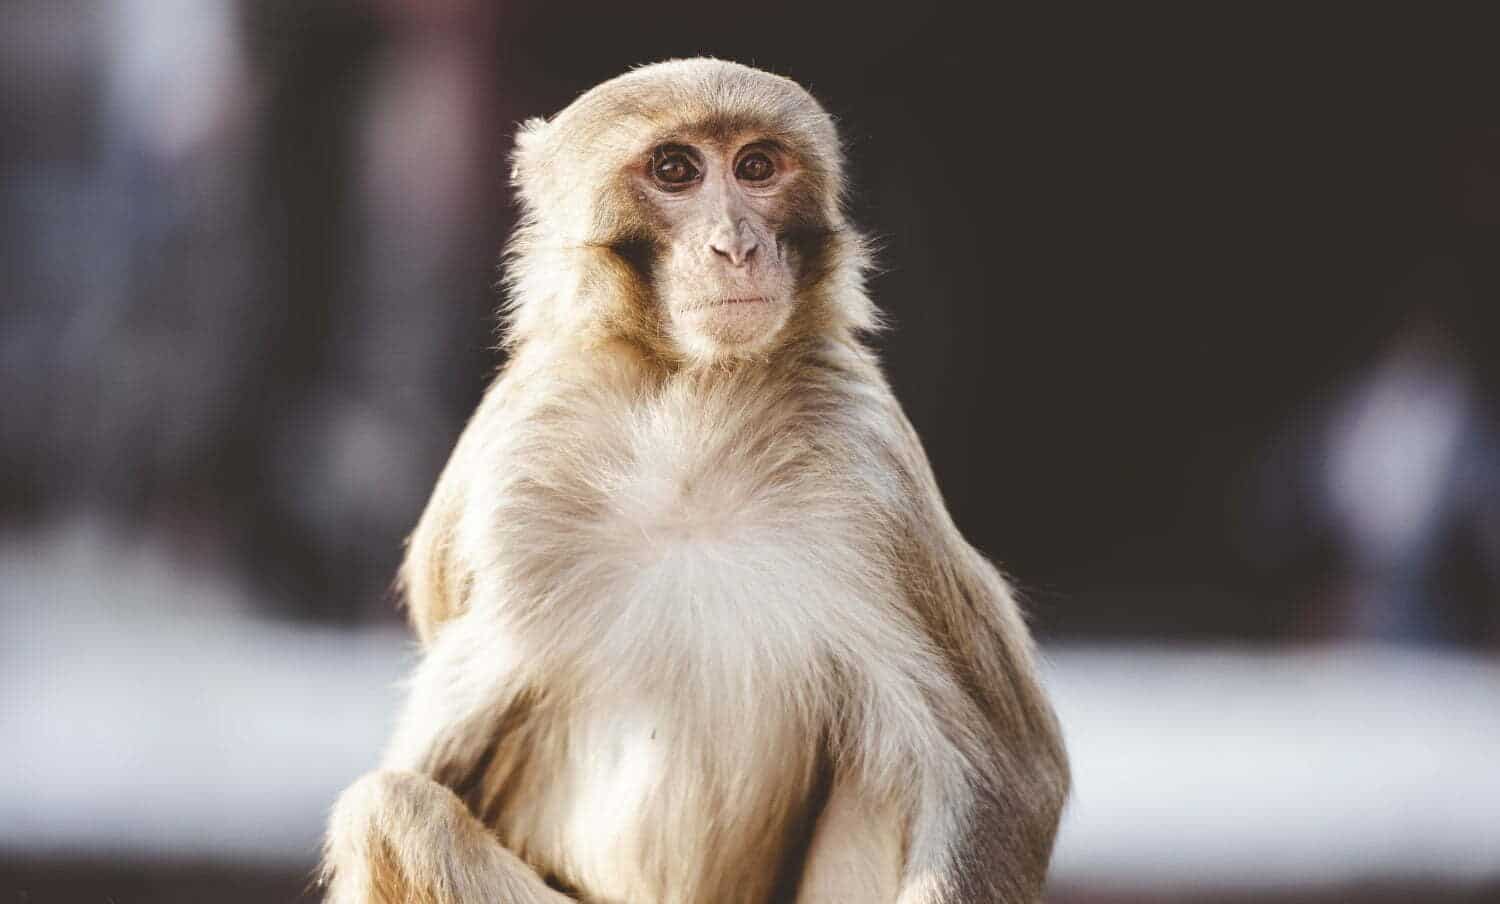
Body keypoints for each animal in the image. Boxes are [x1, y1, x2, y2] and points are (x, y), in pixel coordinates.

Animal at [321, 58, 1069, 904]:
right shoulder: (514, 474)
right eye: (675, 170)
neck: (688, 410)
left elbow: (1005, 770)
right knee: (390, 807)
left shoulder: (867, 464)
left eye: (757, 166)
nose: (736, 245)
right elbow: (419, 770)